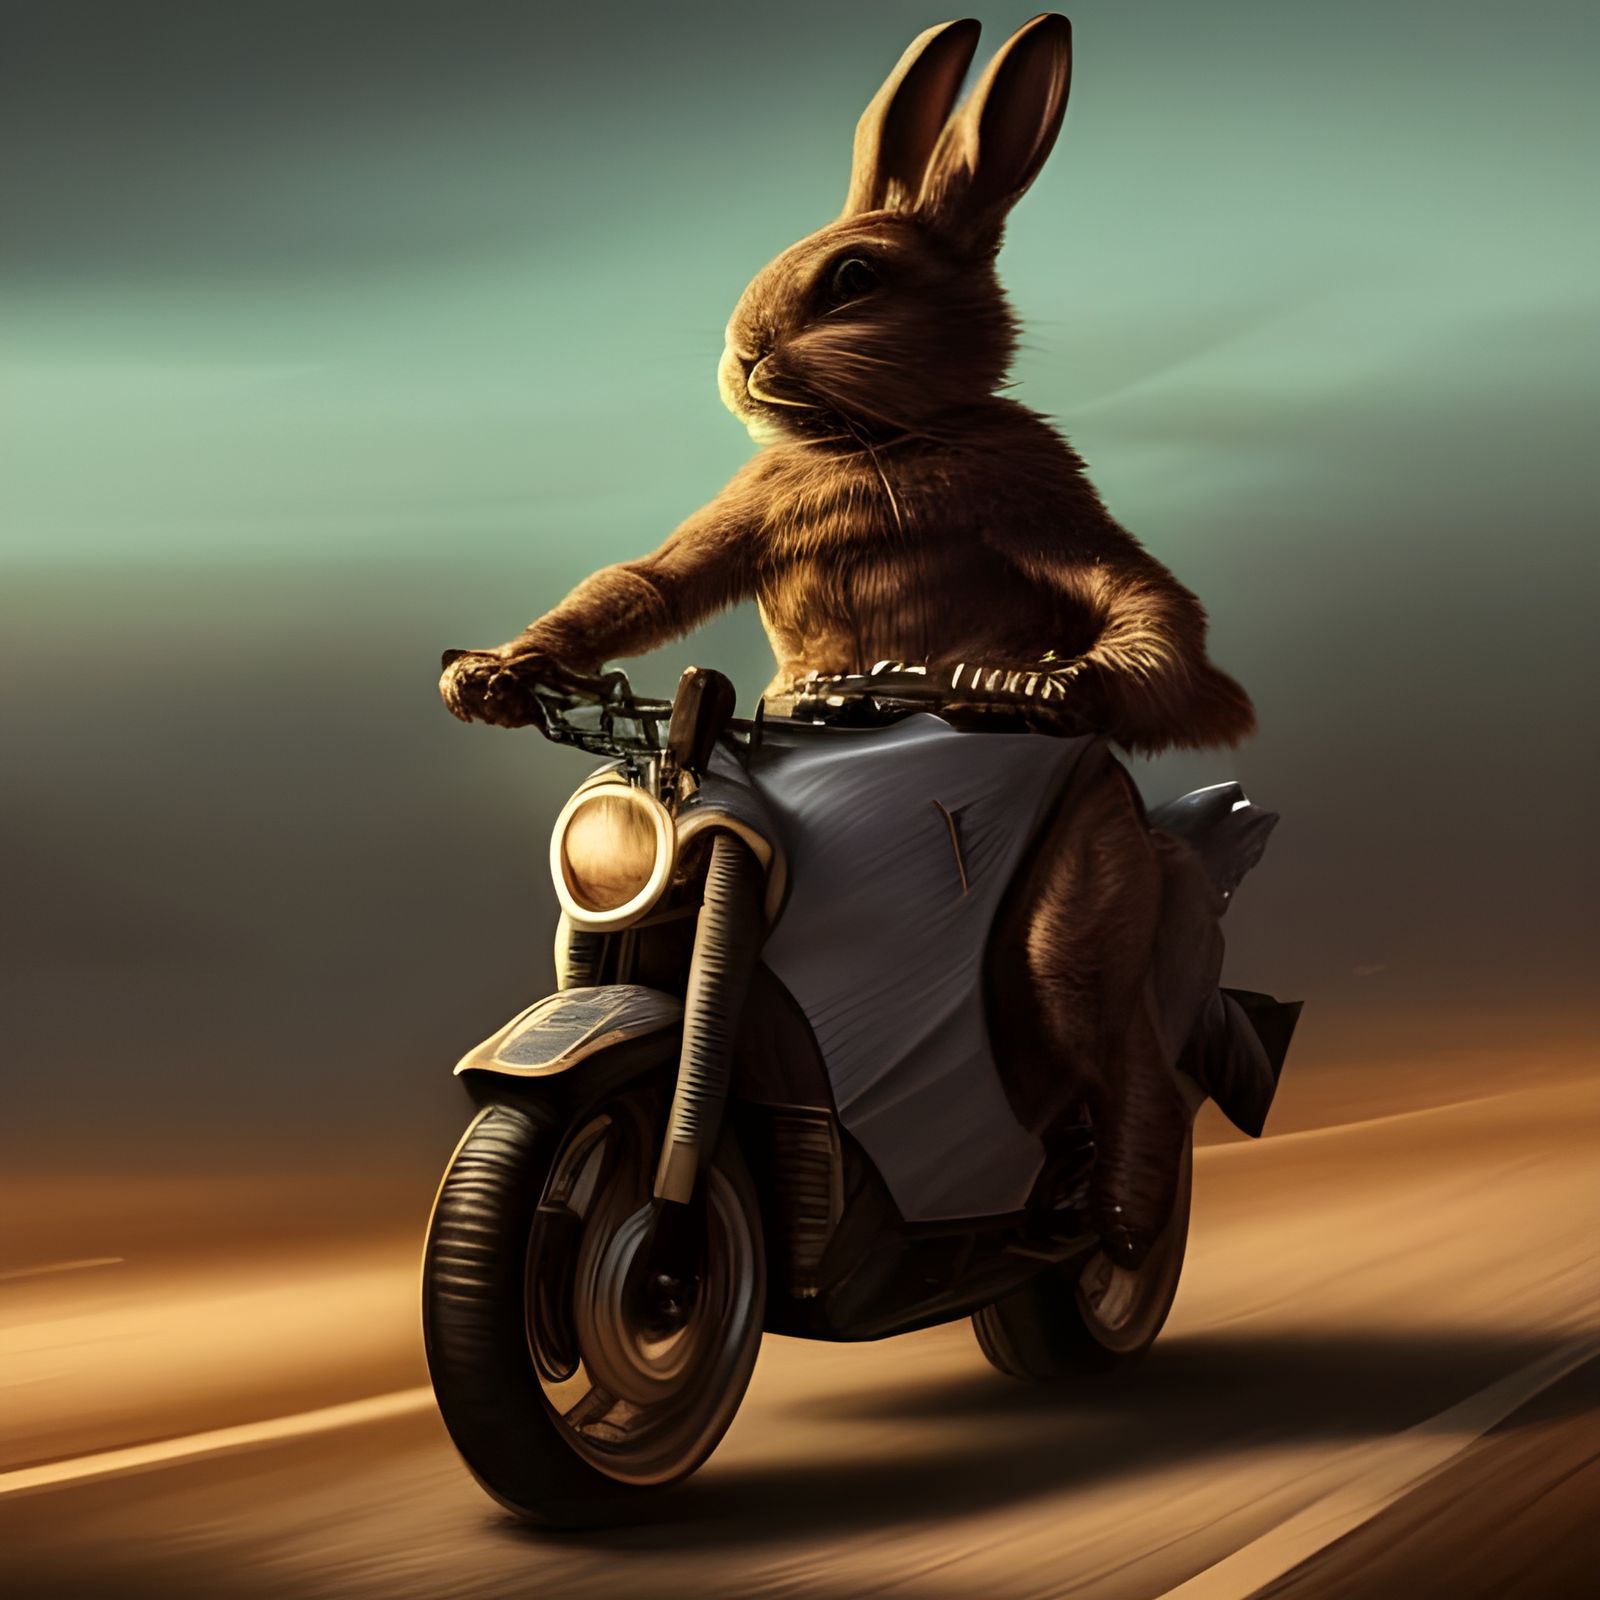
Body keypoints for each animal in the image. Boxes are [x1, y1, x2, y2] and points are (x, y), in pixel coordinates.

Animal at [440, 14, 1255, 1266]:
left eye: (854, 279)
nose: (741, 354)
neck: (872, 445)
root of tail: (1201, 833)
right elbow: (651, 580)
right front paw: (498, 672)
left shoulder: (1034, 490)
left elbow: (1148, 598)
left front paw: (1048, 679)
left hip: (1092, 891)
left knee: (1121, 1051)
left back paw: (1114, 1221)